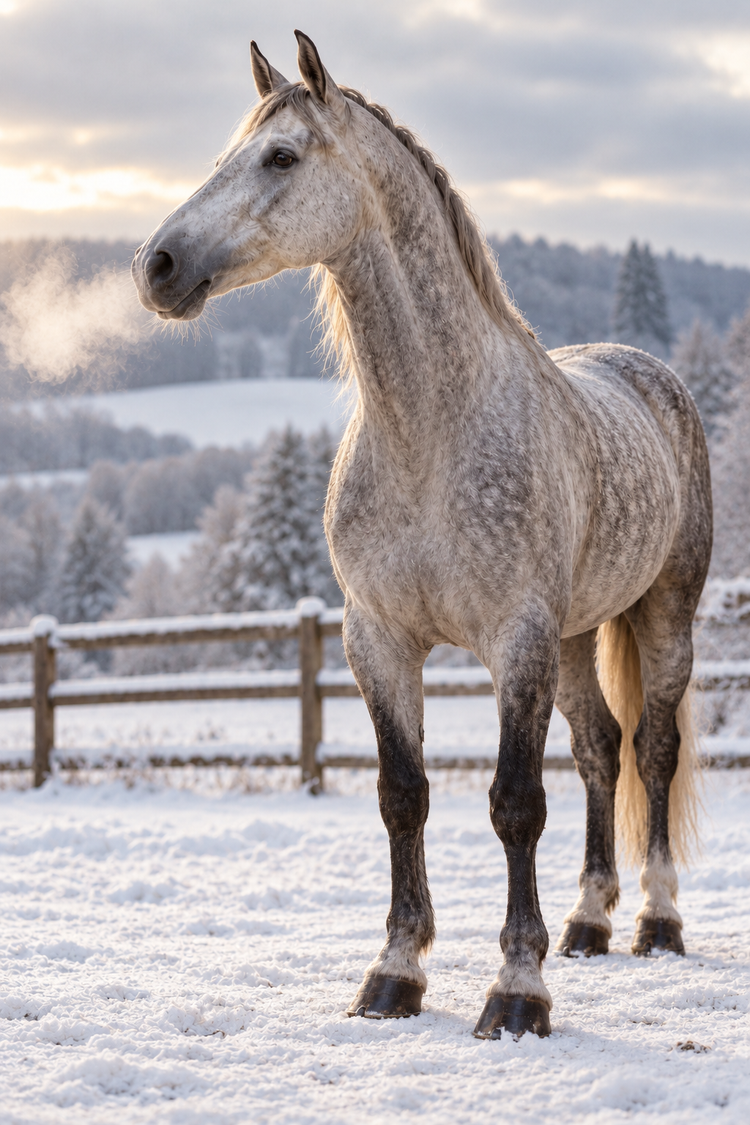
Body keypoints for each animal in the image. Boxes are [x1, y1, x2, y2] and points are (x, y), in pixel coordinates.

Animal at [132, 31, 712, 1040]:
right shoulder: (379, 639)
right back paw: (589, 924)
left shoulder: (514, 640)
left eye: (281, 157)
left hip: (662, 613)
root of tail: (651, 376)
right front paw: (394, 974)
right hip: (572, 640)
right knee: (601, 753)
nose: (158, 265)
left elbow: (515, 803)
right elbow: (403, 796)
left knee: (651, 750)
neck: (431, 432)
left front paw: (516, 991)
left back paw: (657, 921)